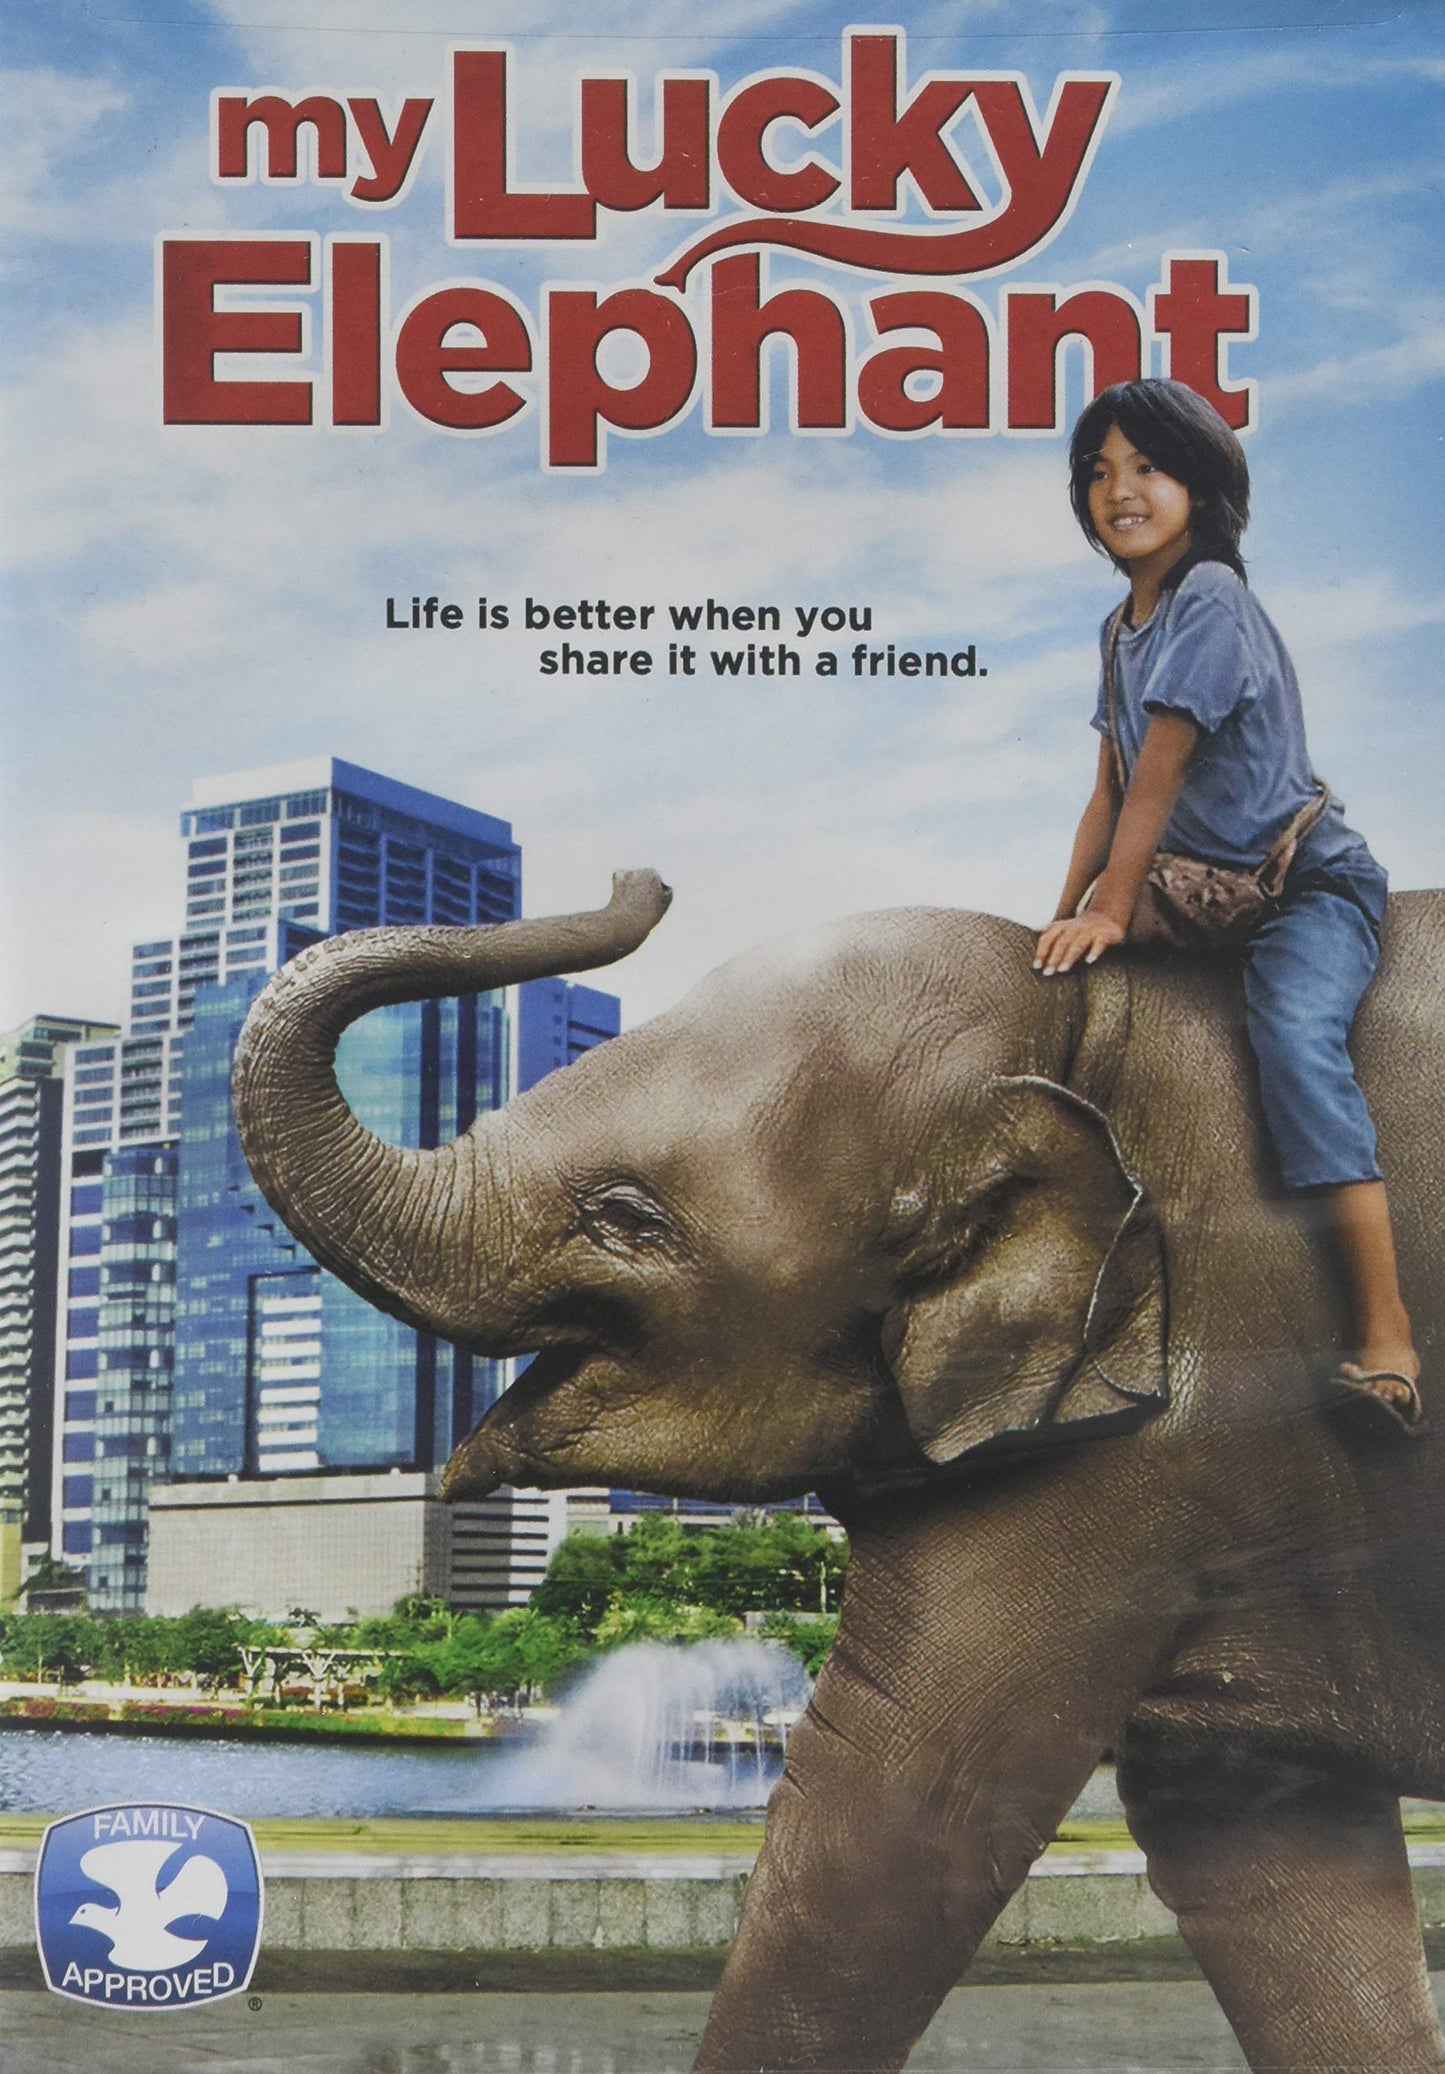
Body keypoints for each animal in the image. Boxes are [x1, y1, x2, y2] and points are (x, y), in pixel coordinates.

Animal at [232, 870, 1445, 2072]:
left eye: (624, 1215)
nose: (646, 882)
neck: (1088, 1025)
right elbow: (1258, 1860)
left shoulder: (1140, 1457)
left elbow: (897, 1813)